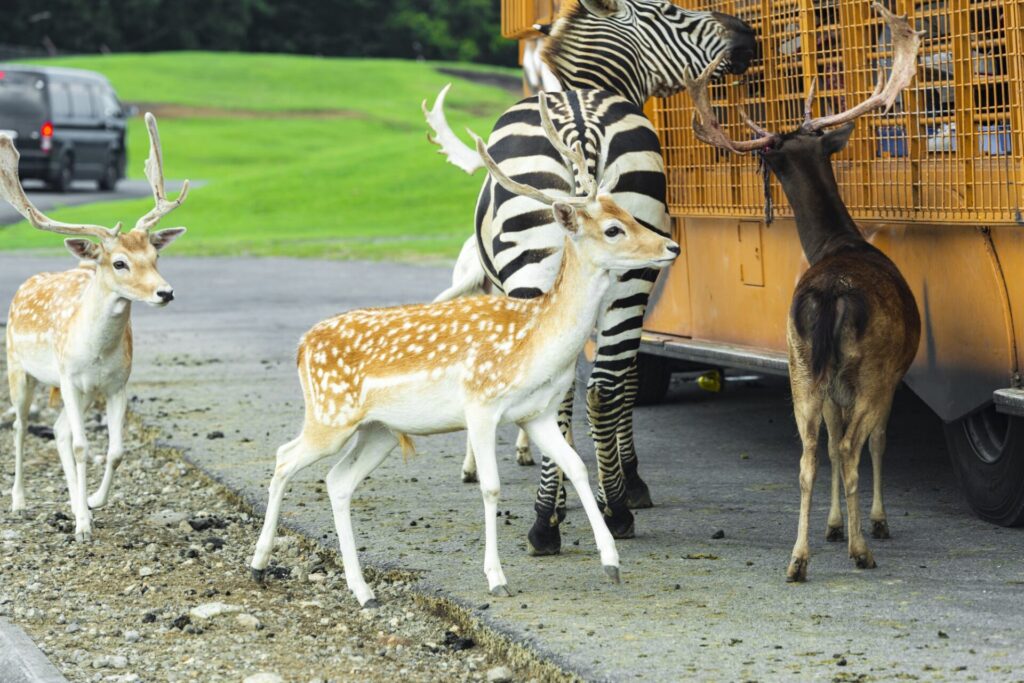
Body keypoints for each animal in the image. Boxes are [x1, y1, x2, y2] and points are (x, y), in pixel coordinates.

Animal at [3, 113, 190, 540]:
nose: (166, 292)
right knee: (22, 426)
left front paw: (92, 503)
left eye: (155, 255)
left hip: (82, 392)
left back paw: (76, 503)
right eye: (119, 262)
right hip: (19, 368)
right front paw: (83, 527)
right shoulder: (68, 377)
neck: (96, 351)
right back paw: (20, 501)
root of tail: (26, 284)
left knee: (58, 431)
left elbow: (115, 450)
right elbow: (82, 446)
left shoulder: (116, 384)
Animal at [247, 97, 679, 610]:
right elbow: (491, 488)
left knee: (336, 481)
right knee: (283, 457)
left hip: (378, 431)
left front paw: (611, 562)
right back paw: (258, 564)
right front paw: (496, 577)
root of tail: (301, 346)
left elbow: (574, 466)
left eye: (629, 212)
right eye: (613, 229)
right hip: (330, 416)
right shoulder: (481, 403)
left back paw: (362, 590)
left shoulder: (534, 413)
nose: (670, 245)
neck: (534, 341)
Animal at [423, 0, 753, 557]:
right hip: (630, 273)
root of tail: (580, 125)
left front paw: (576, 491)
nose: (750, 36)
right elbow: (624, 380)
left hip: (552, 270)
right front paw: (610, 484)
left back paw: (551, 520)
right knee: (602, 387)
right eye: (672, 10)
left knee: (573, 389)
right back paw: (608, 510)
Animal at [684, 3, 925, 581]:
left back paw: (798, 558)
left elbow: (832, 452)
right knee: (851, 446)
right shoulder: (892, 375)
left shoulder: (830, 381)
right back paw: (862, 550)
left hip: (799, 364)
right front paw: (873, 523)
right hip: (868, 368)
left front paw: (834, 527)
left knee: (810, 454)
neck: (838, 243)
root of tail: (832, 293)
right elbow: (877, 442)